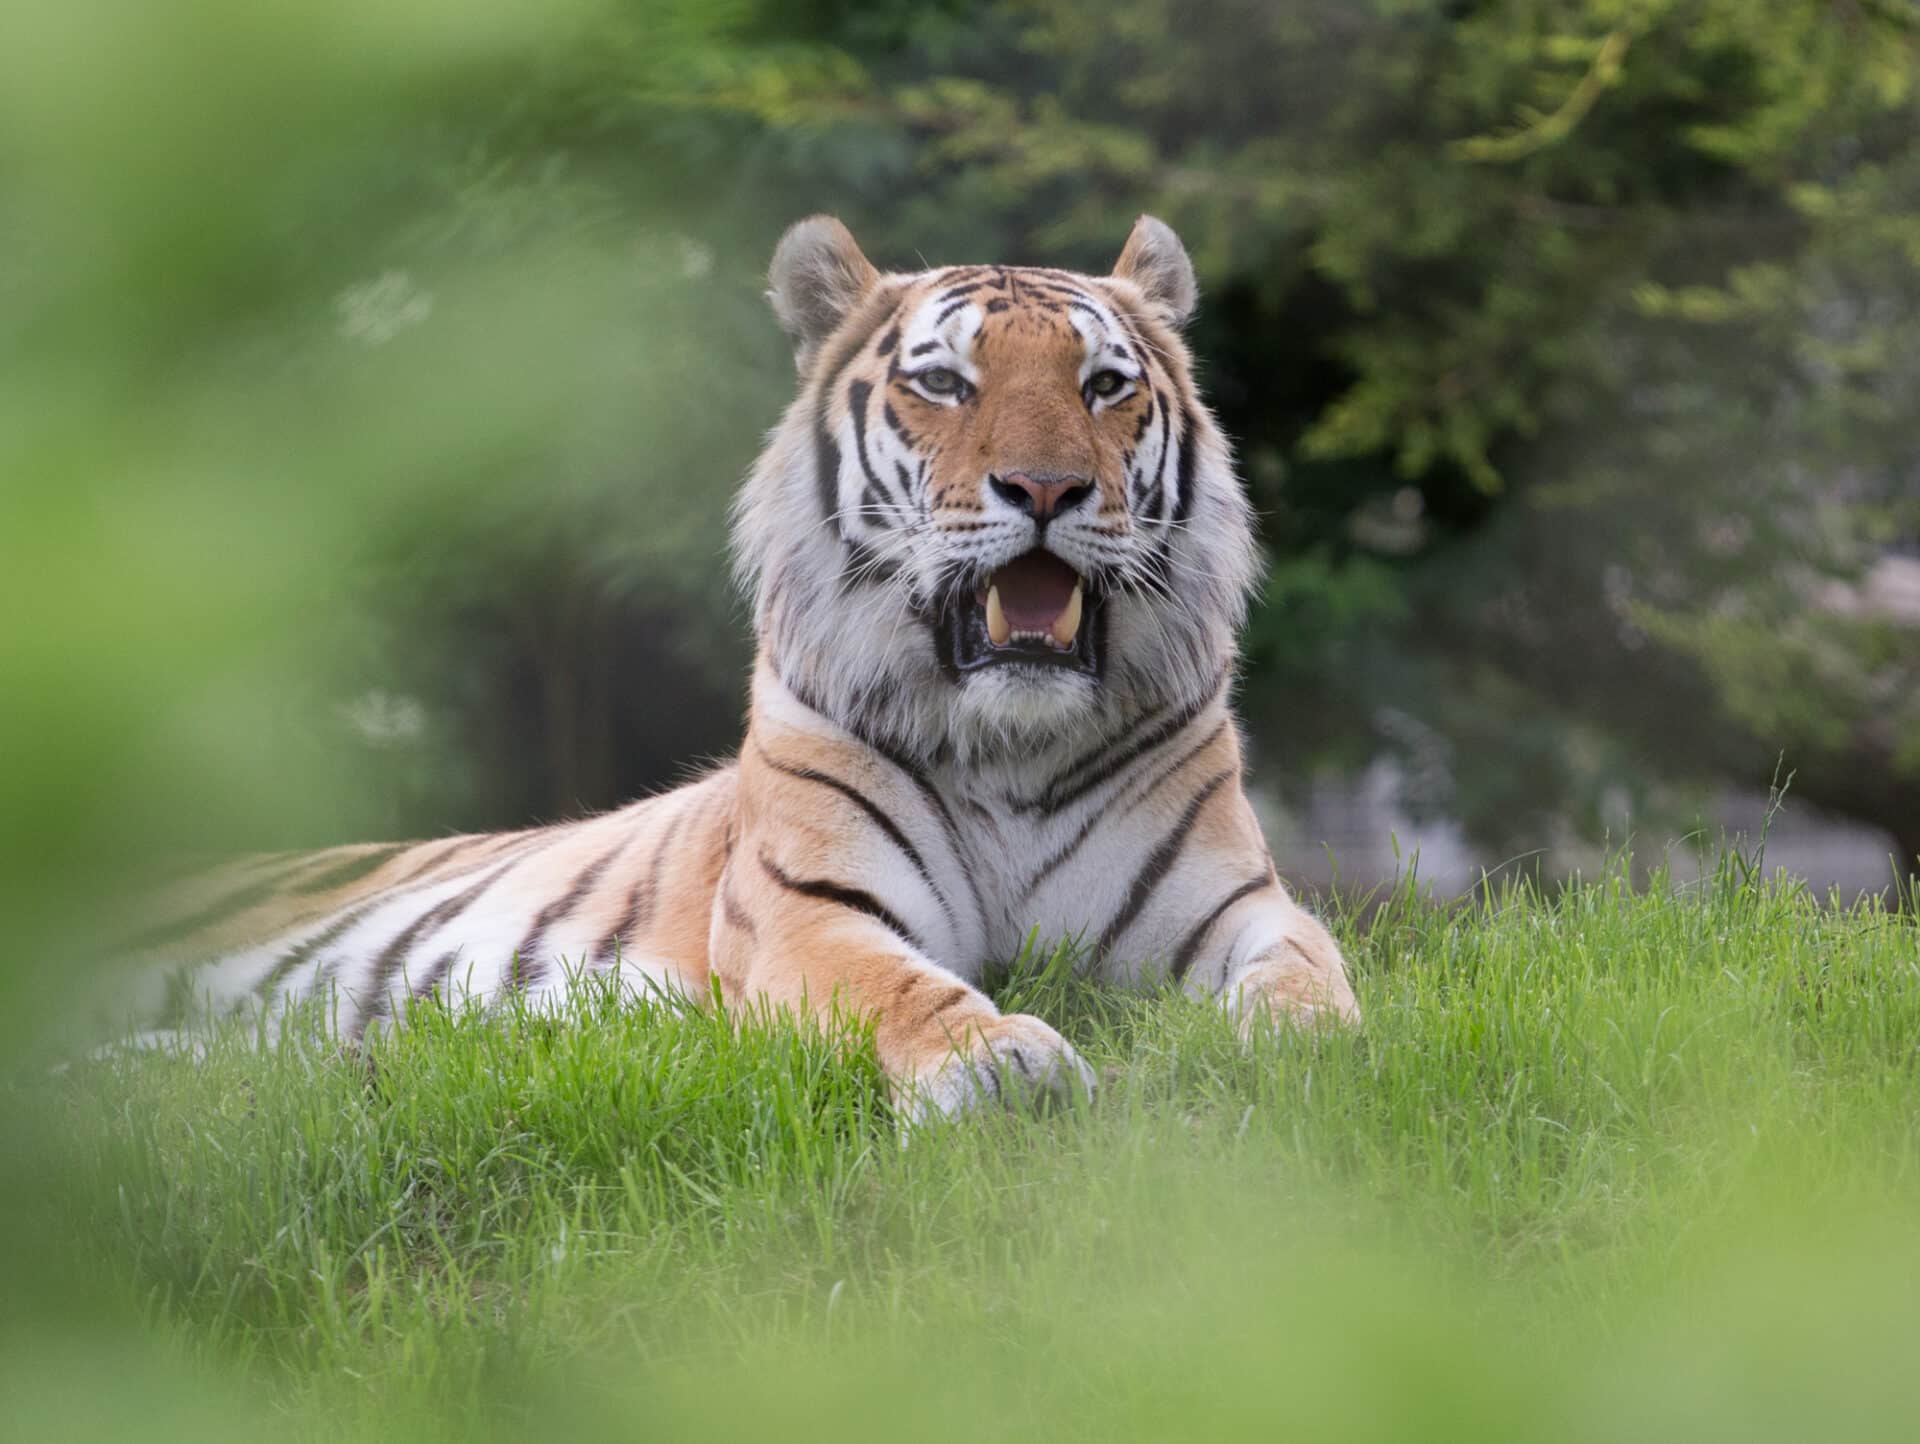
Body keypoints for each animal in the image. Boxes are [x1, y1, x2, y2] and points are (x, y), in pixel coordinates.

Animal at [123, 214, 1351, 1113]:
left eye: (1104, 385)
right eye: (944, 384)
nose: (1047, 488)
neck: (1011, 741)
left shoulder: (1235, 903)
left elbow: (1311, 971)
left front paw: (1294, 1044)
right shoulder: (811, 913)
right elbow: (895, 988)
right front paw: (998, 1064)